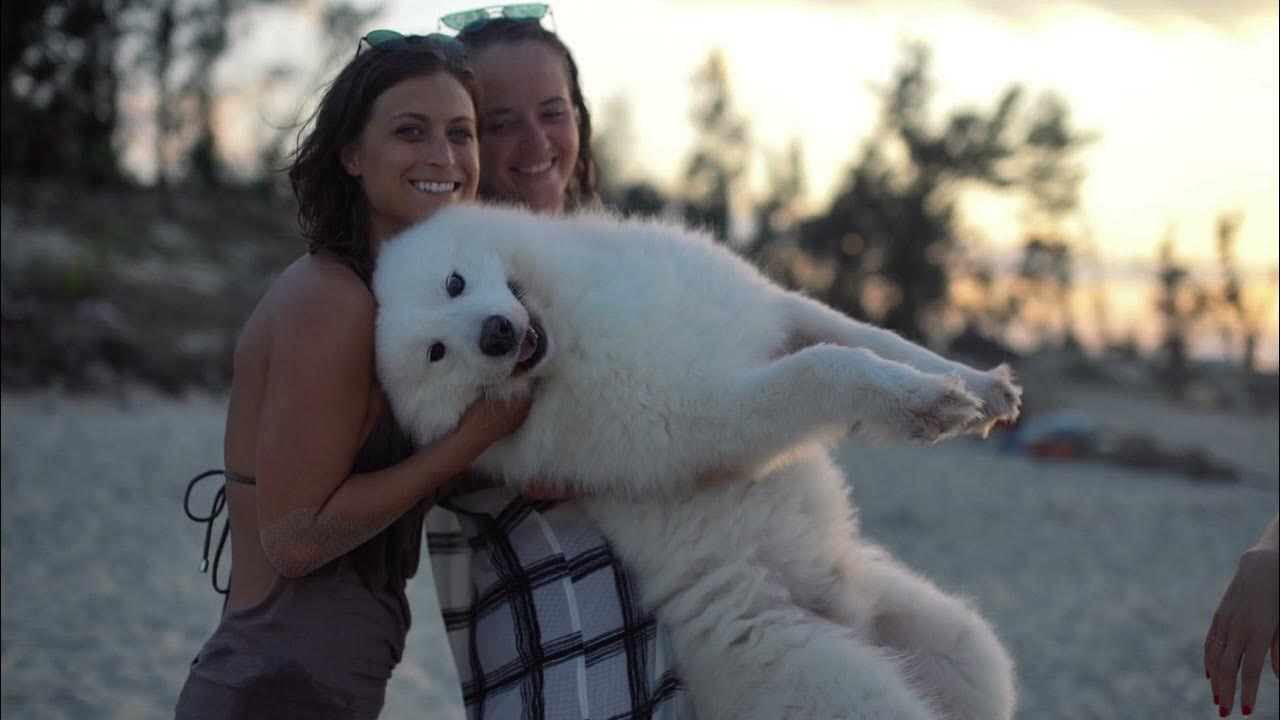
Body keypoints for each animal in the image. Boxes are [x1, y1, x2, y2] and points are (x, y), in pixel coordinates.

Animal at [371, 203, 1018, 717]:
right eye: (437, 354)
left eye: (454, 283)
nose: (497, 335)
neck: (574, 328)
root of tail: (846, 616)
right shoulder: (713, 416)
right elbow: (826, 367)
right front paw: (922, 407)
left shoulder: (777, 308)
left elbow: (874, 338)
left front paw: (973, 389)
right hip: (857, 693)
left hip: (970, 653)